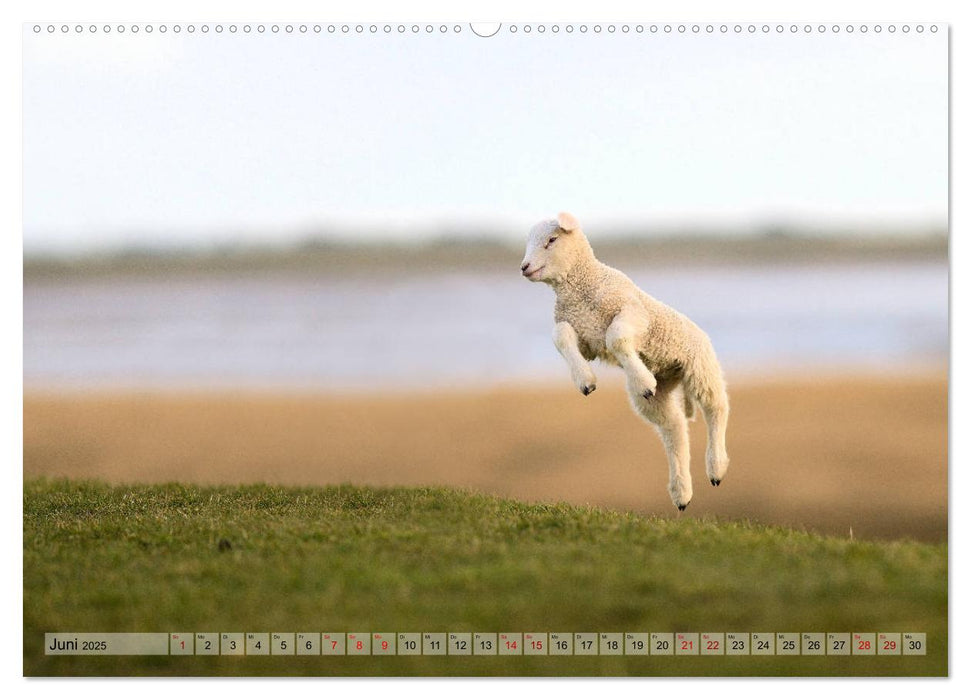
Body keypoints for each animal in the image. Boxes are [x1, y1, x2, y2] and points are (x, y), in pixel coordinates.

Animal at [524, 211, 728, 512]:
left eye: (551, 240)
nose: (524, 267)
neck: (581, 289)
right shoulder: (585, 337)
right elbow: (560, 336)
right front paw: (585, 381)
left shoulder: (633, 314)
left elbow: (617, 337)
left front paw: (642, 379)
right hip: (660, 395)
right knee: (674, 429)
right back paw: (681, 492)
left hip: (700, 365)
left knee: (716, 408)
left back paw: (716, 467)